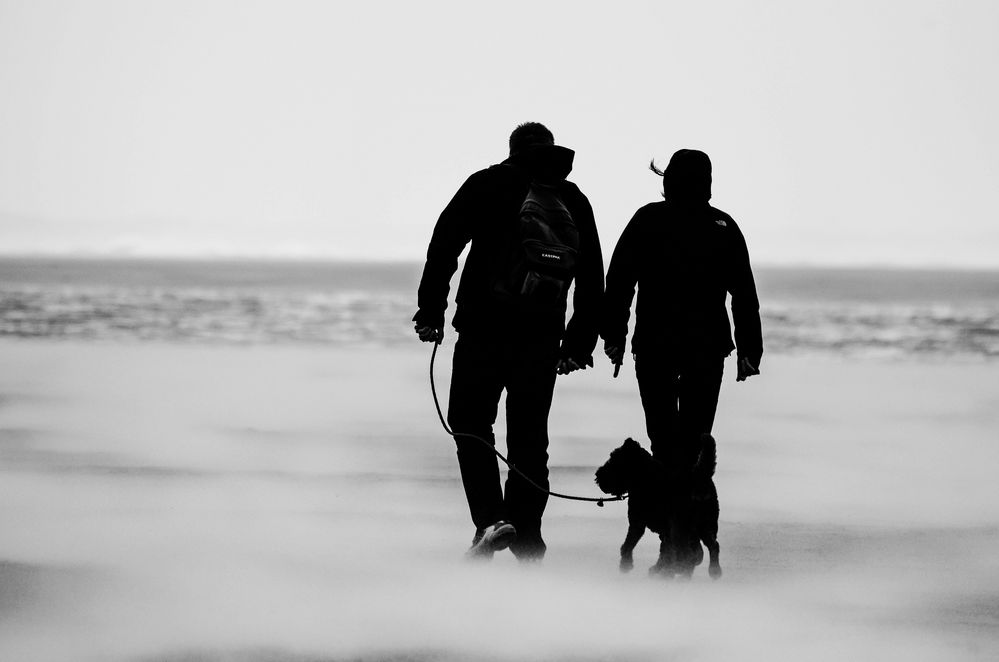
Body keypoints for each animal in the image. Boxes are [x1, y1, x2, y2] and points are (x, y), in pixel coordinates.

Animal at [588, 436, 724, 580]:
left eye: (614, 460)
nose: (598, 476)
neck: (647, 477)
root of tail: (701, 477)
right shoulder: (663, 531)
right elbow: (664, 551)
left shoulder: (637, 523)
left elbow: (627, 545)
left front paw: (625, 565)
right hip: (704, 525)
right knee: (711, 546)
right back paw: (713, 571)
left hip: (682, 526)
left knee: (689, 553)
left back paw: (679, 574)